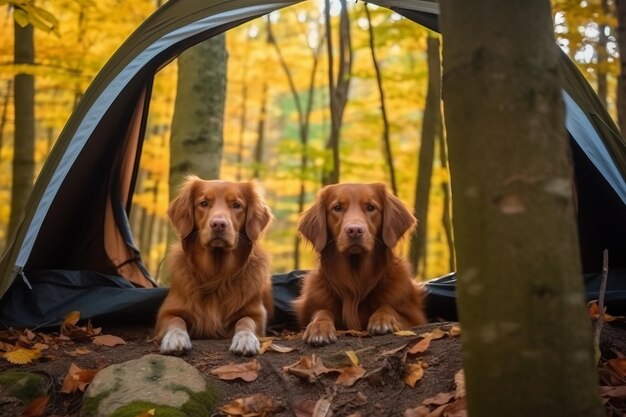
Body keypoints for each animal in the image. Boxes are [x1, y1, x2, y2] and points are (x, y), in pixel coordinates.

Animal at [155, 176, 272, 354]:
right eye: (204, 203)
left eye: (236, 205)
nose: (218, 224)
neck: (215, 276)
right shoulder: (167, 312)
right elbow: (176, 321)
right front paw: (175, 338)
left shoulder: (257, 314)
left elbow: (246, 321)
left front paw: (245, 339)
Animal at [292, 183, 424, 344]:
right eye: (337, 208)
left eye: (371, 207)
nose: (354, 230)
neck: (356, 279)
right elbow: (322, 312)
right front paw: (319, 327)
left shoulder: (415, 316)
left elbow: (388, 307)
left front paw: (382, 319)